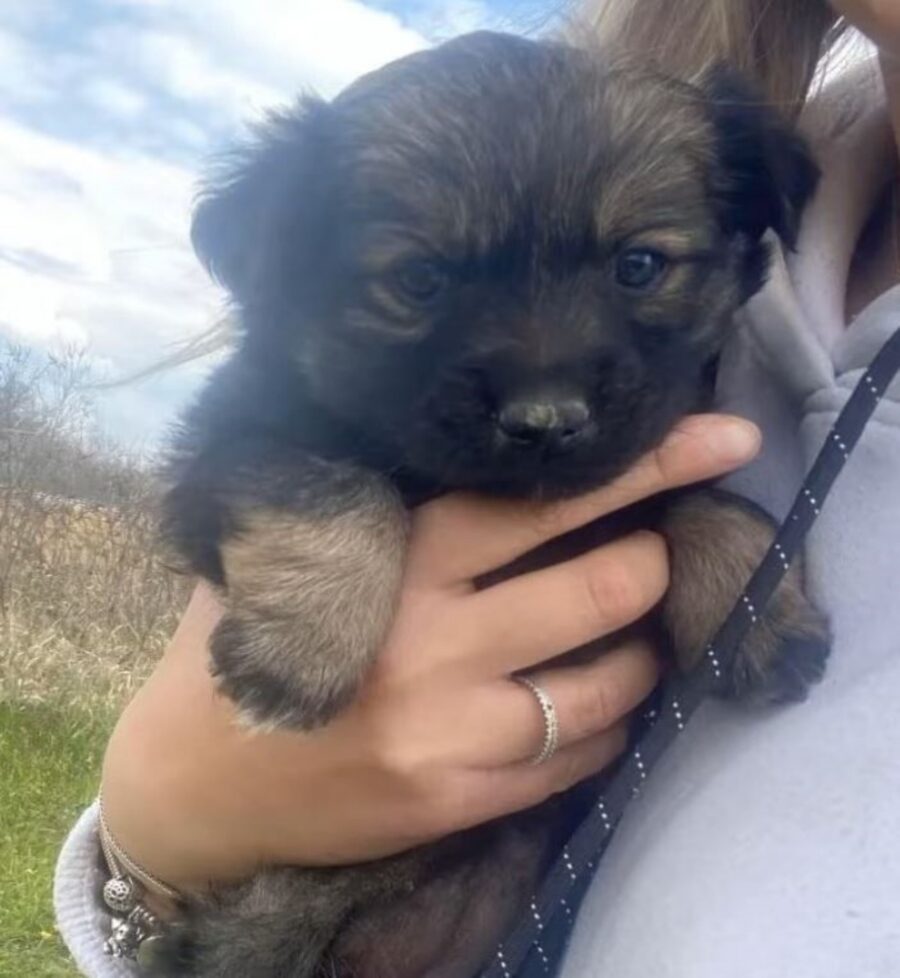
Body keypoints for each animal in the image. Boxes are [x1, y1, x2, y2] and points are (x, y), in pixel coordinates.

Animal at [156, 30, 828, 976]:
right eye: (420, 279)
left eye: (639, 266)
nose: (545, 421)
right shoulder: (232, 435)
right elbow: (334, 486)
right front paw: (304, 650)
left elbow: (712, 504)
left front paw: (762, 613)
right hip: (260, 921)